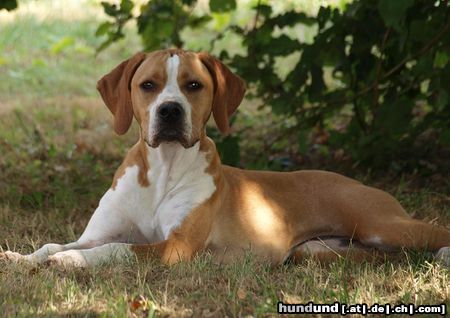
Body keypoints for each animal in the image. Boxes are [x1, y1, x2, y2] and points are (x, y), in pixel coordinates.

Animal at [3, 49, 450, 268]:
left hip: (383, 225)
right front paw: (21, 257)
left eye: (193, 85)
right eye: (147, 85)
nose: (170, 111)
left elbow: (117, 250)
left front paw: (70, 260)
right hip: (319, 250)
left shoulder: (175, 247)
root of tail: (356, 181)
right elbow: (53, 242)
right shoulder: (98, 231)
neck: (162, 170)